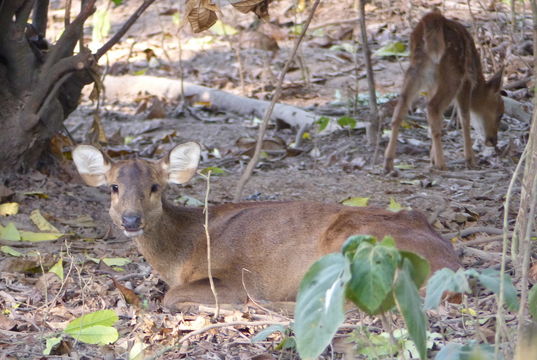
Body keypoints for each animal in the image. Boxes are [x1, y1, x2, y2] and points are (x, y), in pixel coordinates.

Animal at [71, 142, 458, 310]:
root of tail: (450, 268)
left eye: (155, 186)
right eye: (113, 187)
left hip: (357, 247)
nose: (131, 219)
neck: (184, 250)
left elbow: (172, 296)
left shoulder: (230, 276)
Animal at [382, 10, 502, 174]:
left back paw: (388, 163)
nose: (493, 140)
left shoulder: (432, 85)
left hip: (417, 67)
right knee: (433, 107)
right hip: (453, 71)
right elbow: (465, 117)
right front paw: (470, 160)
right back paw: (441, 164)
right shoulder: (467, 81)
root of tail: (433, 19)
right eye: (500, 114)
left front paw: (431, 159)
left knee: (402, 108)